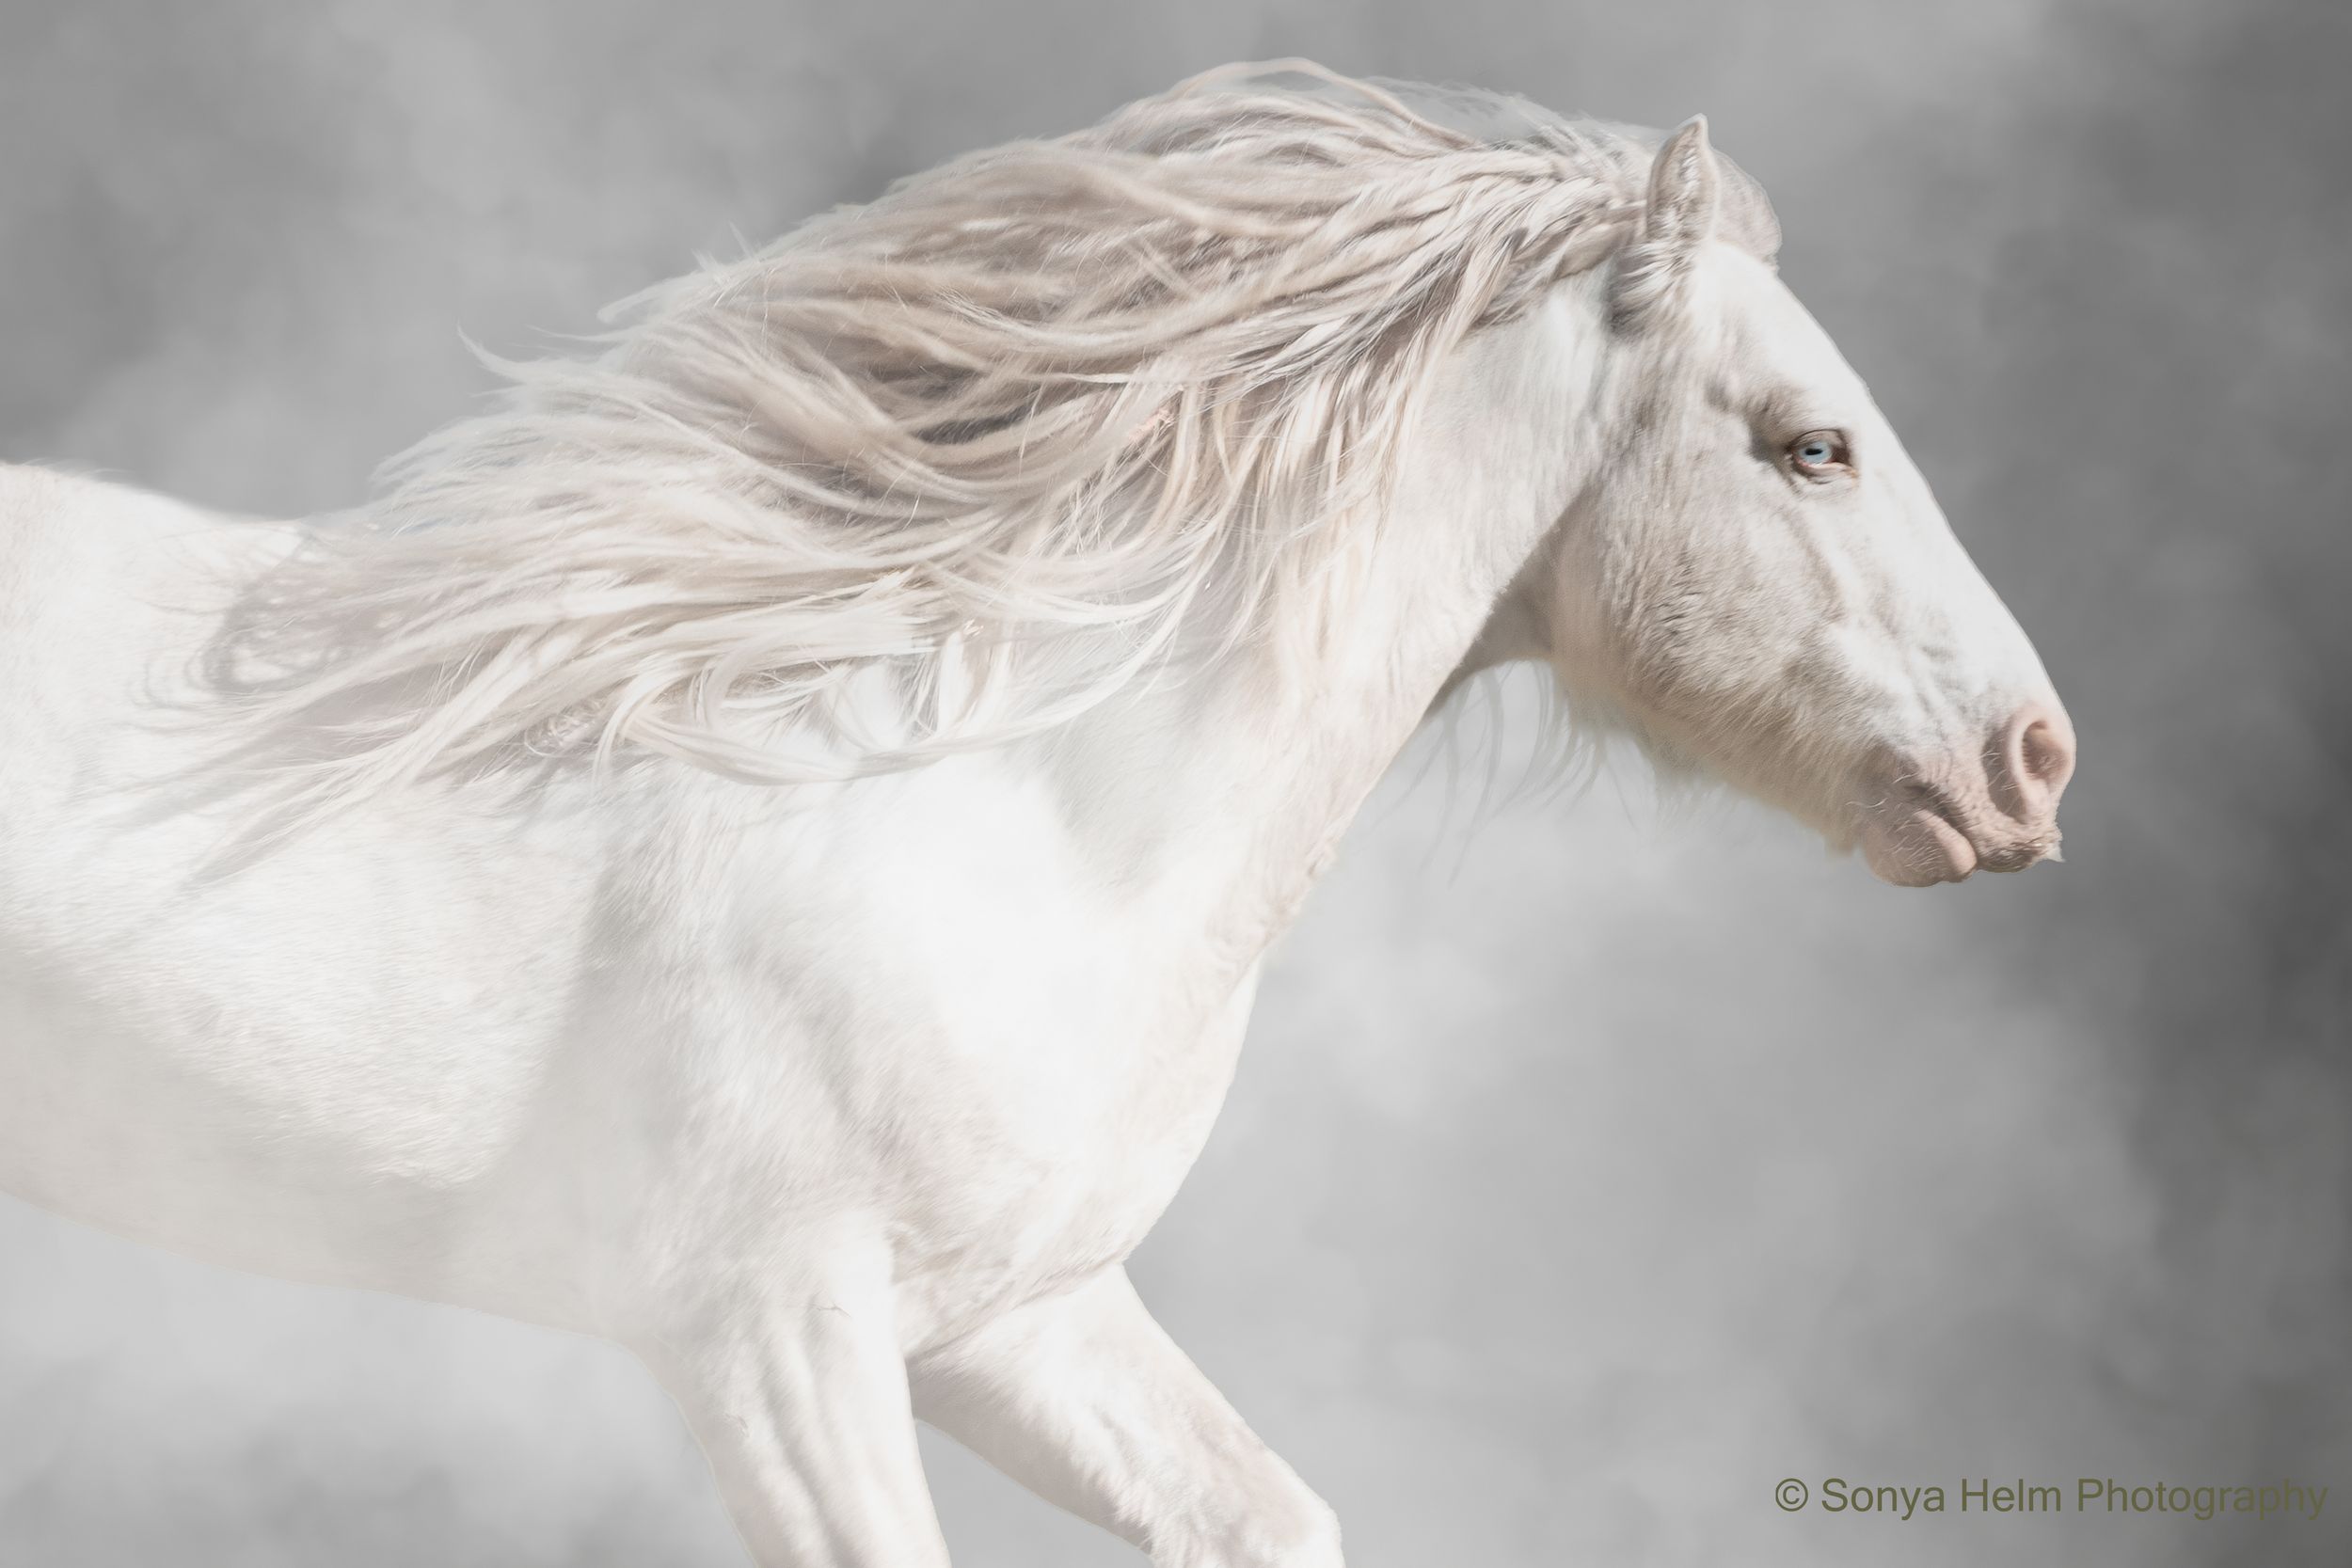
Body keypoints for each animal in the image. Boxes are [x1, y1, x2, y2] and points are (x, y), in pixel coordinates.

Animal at [0, 62, 2074, 1567]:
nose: (2031, 760)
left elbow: (1269, 1516)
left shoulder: (1013, 1321)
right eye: (1811, 443)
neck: (1001, 812)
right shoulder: (772, 1331)